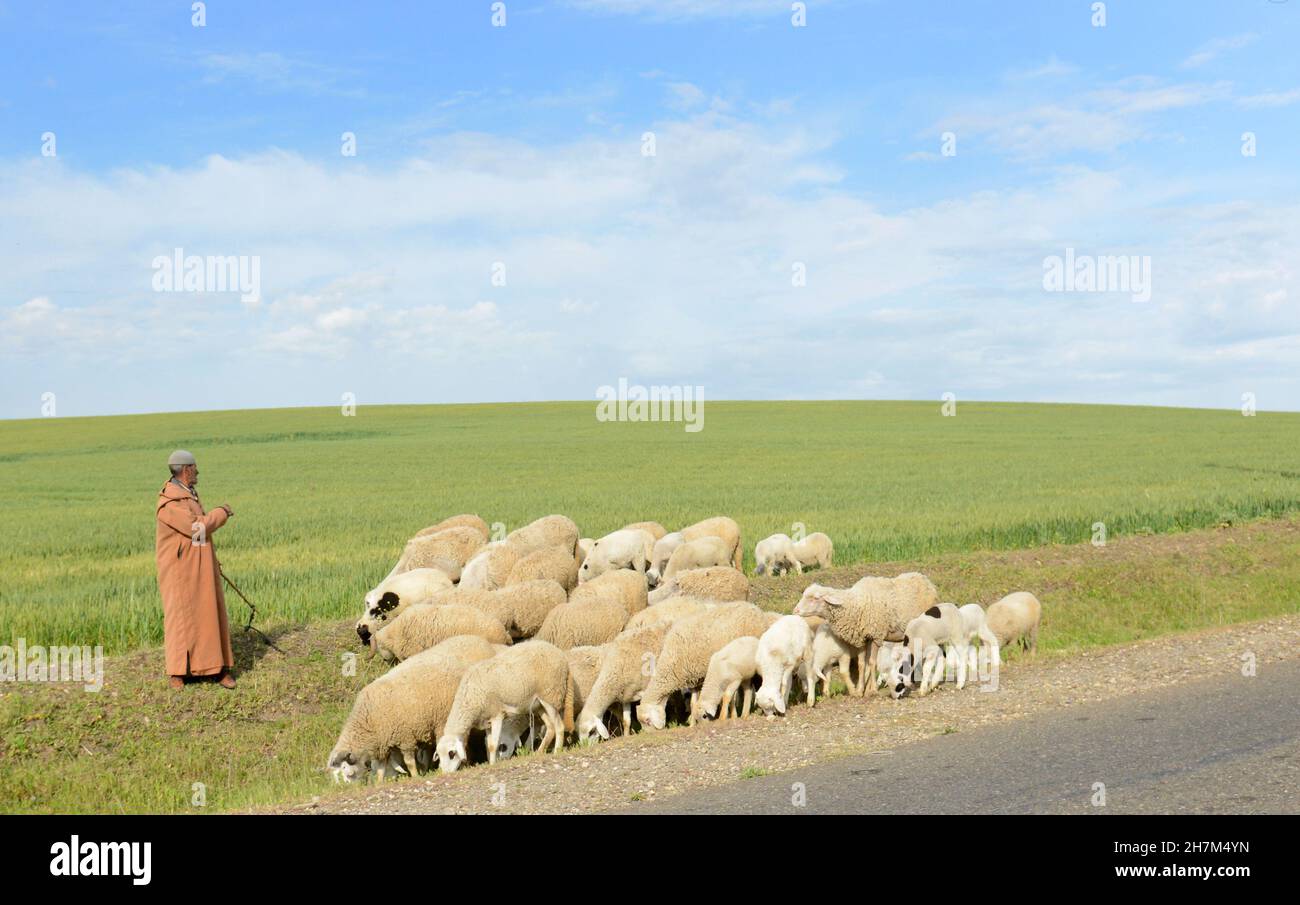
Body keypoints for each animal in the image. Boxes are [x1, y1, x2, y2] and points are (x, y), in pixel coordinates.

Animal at [330, 642, 496, 785]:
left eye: (347, 771)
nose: (353, 787)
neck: (369, 720)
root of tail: (483, 643)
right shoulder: (383, 744)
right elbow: (382, 768)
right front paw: (379, 783)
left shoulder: (405, 737)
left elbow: (409, 762)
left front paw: (416, 776)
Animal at [436, 637, 574, 769]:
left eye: (451, 753)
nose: (446, 773)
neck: (470, 699)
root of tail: (560, 654)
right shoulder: (487, 721)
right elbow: (489, 745)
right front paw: (492, 762)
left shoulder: (497, 715)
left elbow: (494, 744)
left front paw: (493, 764)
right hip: (538, 704)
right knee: (550, 727)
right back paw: (539, 752)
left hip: (551, 695)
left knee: (559, 726)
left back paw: (557, 751)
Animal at [634, 600, 774, 728]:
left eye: (647, 720)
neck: (671, 663)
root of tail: (754, 608)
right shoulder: (695, 679)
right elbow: (693, 704)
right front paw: (692, 724)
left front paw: (730, 716)